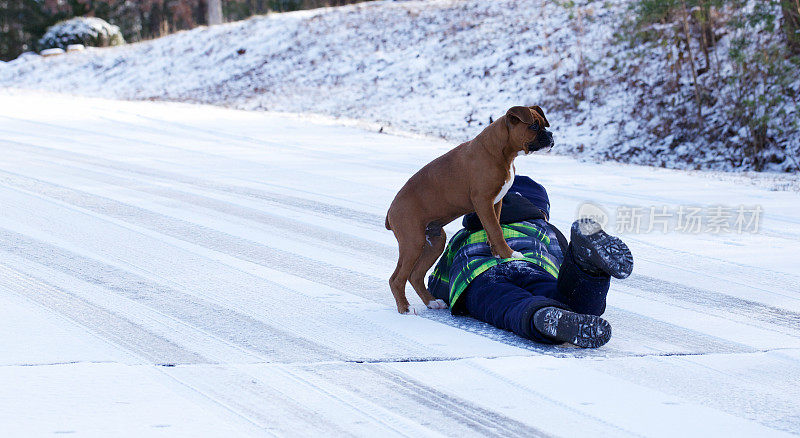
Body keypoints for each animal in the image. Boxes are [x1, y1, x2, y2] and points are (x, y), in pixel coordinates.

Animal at [384, 105, 552, 314]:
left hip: (435, 240)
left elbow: (493, 228)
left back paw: (432, 302)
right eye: (534, 126)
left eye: (544, 124)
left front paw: (497, 253)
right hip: (413, 242)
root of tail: (390, 211)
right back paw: (405, 307)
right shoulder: (483, 201)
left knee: (415, 275)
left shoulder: (495, 202)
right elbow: (496, 230)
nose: (551, 136)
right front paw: (509, 254)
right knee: (397, 278)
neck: (500, 151)